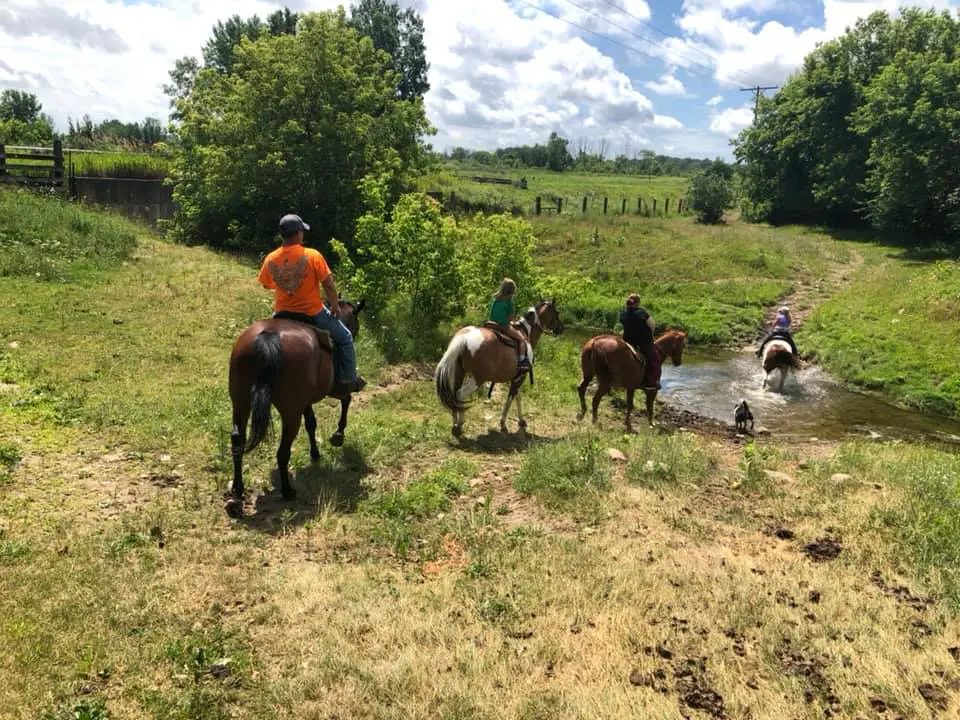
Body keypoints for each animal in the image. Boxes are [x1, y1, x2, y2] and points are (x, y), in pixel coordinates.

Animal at [225, 300, 364, 516]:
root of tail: (268, 336)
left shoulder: (304, 402)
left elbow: (312, 424)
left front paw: (315, 452)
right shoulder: (333, 390)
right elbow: (346, 400)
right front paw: (338, 435)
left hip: (240, 403)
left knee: (238, 441)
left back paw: (238, 489)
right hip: (290, 413)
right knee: (283, 452)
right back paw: (287, 490)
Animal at [436, 300, 564, 436]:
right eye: (557, 313)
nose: (562, 328)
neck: (525, 333)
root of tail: (464, 338)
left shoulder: (516, 377)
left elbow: (518, 397)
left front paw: (521, 420)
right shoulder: (520, 377)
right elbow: (510, 399)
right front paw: (503, 423)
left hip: (459, 373)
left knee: (454, 395)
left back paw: (455, 425)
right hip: (477, 379)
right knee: (460, 394)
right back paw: (460, 423)